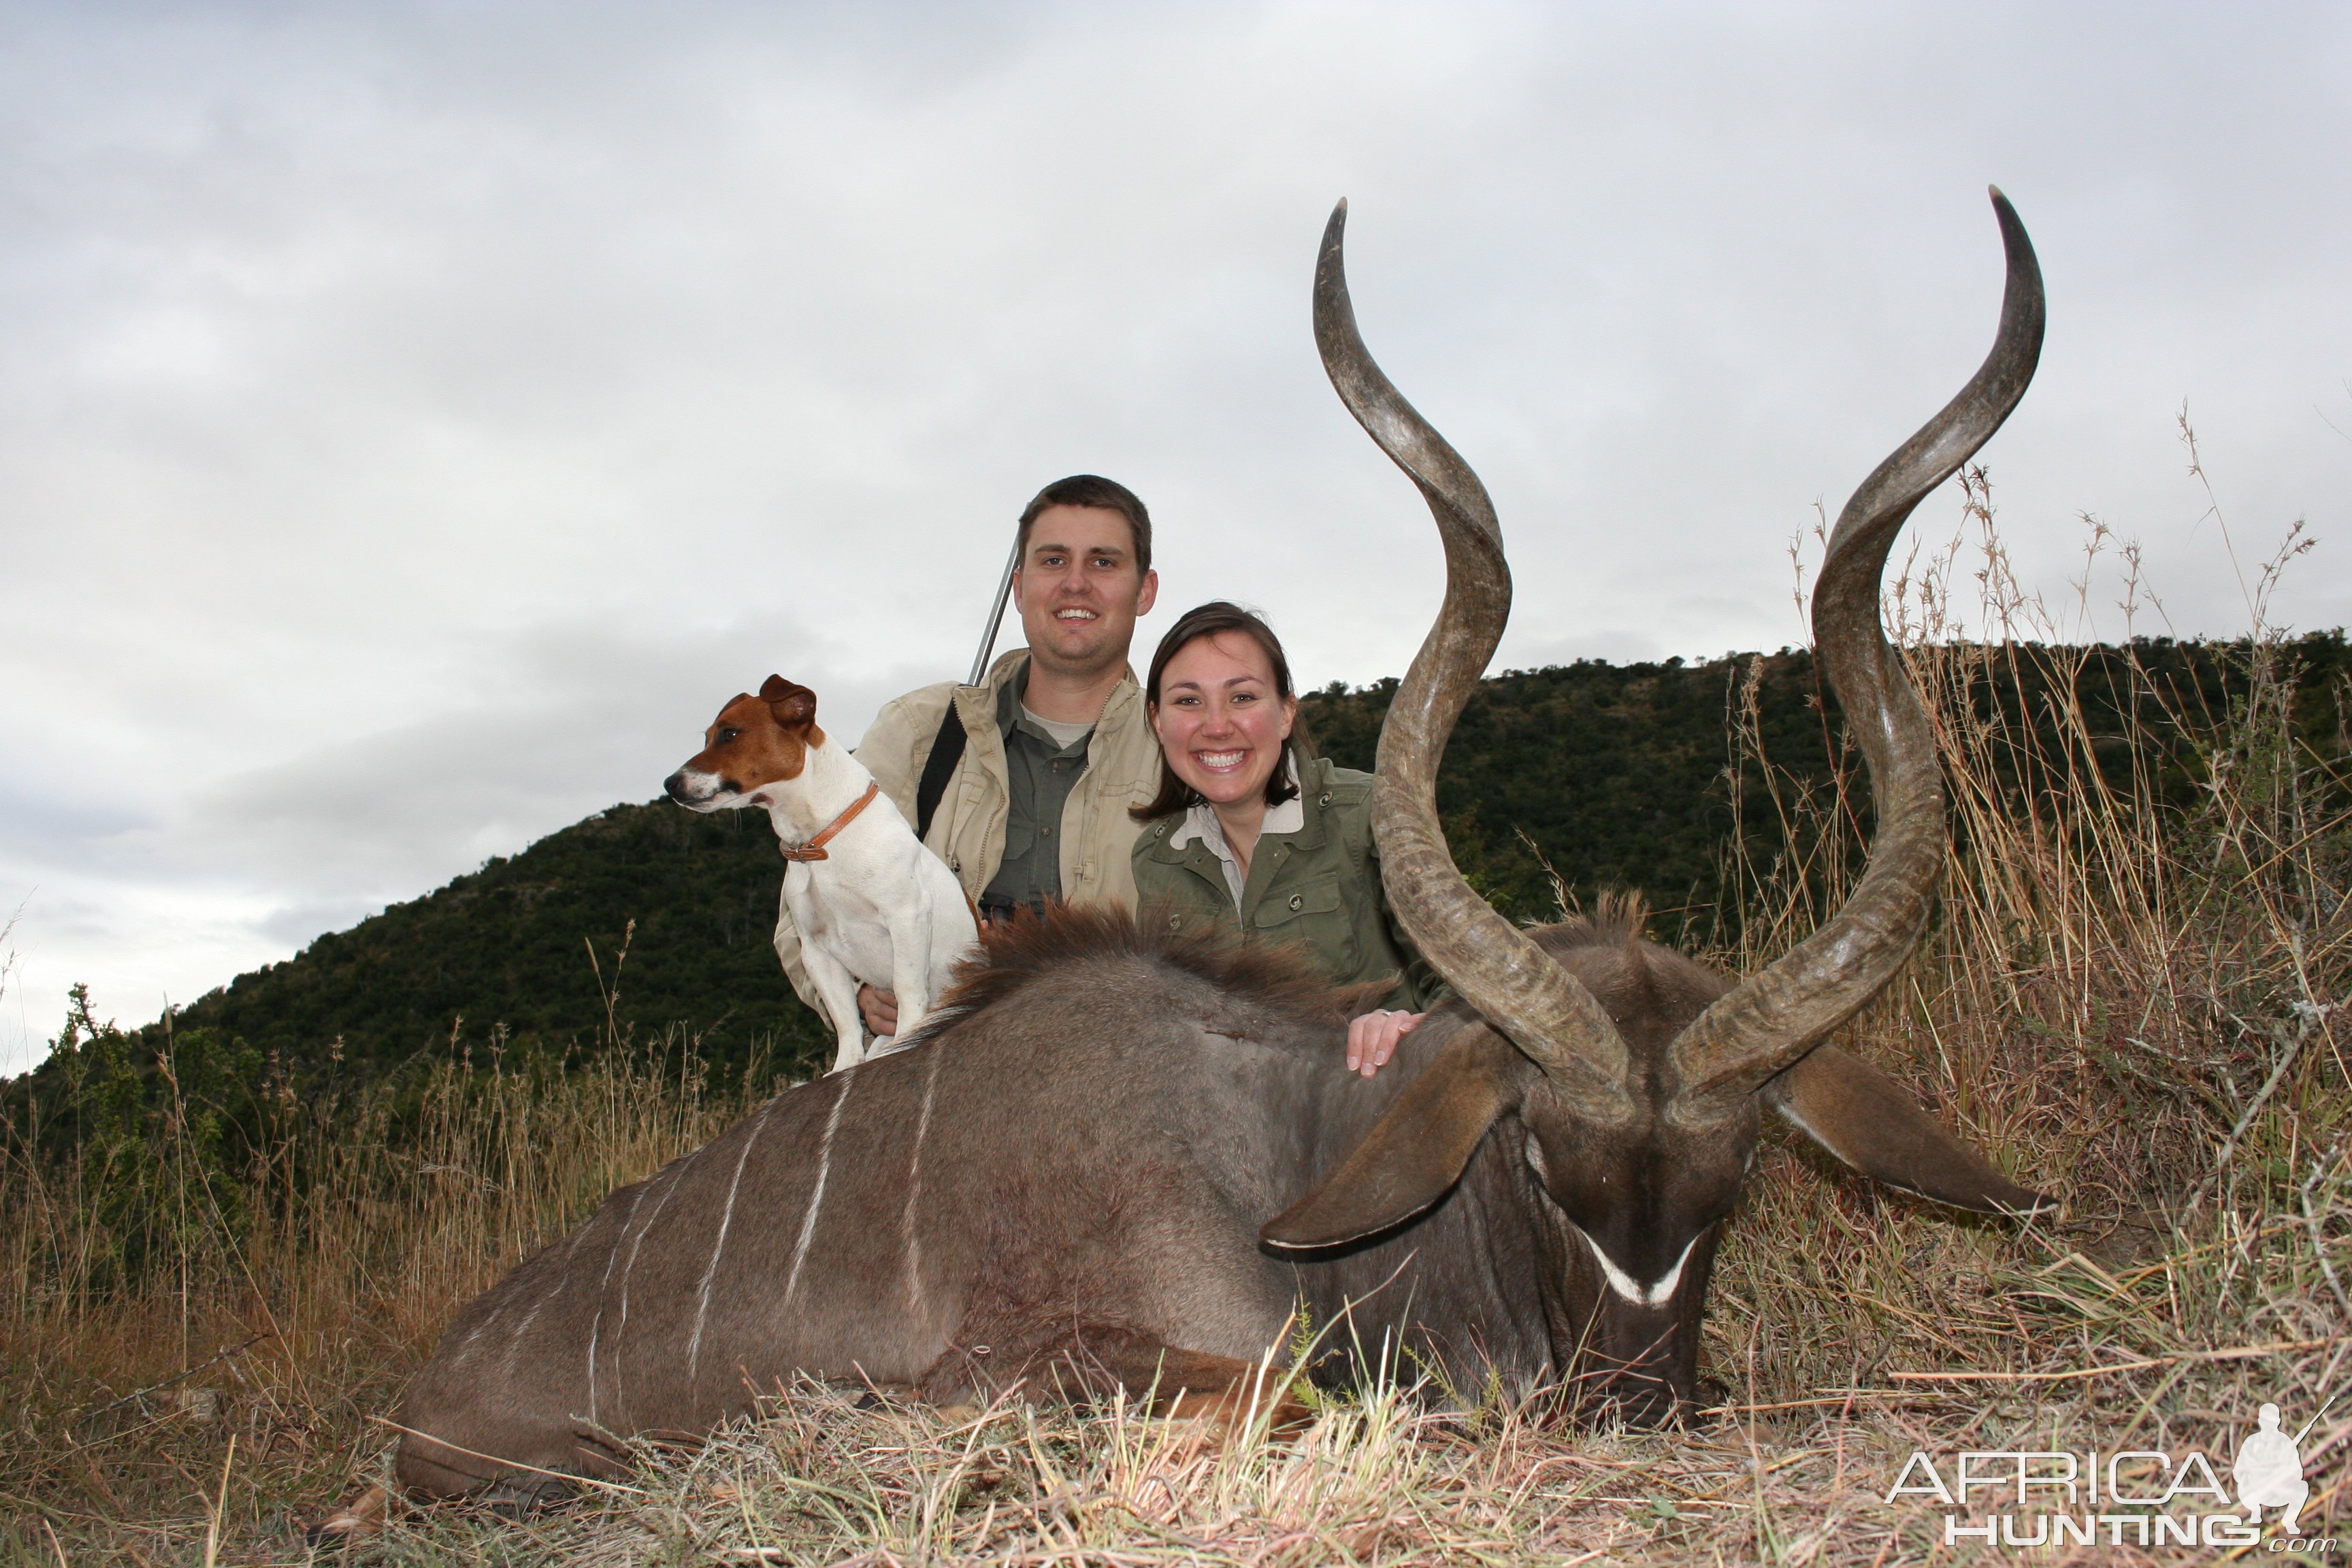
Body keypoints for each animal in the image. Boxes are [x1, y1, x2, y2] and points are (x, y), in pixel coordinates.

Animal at [668, 676, 978, 1081]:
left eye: (729, 734)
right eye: (706, 737)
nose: (669, 784)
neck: (817, 843)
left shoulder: (906, 916)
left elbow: (907, 988)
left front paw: (907, 1044)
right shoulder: (815, 950)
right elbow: (845, 1019)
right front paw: (844, 1067)